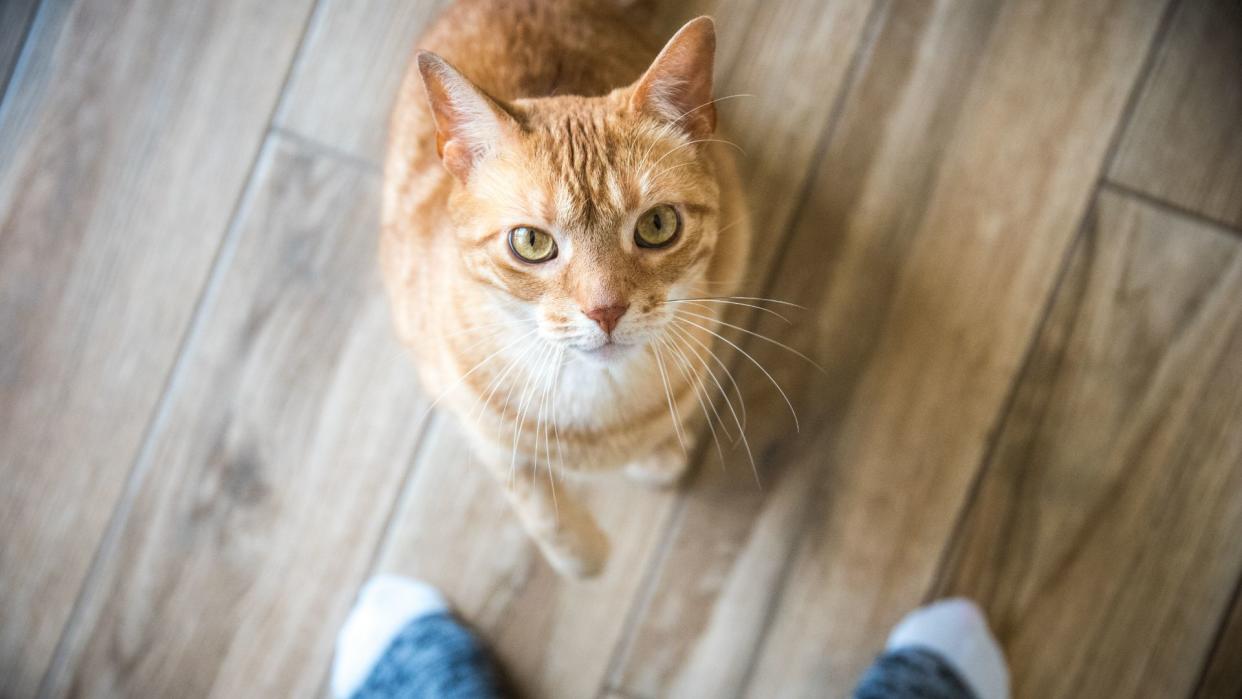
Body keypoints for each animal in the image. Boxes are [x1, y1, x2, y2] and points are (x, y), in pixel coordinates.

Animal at [380, 0, 745, 581]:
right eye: (531, 242)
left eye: (658, 225)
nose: (605, 310)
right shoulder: (474, 422)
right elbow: (533, 499)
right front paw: (581, 552)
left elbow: (664, 433)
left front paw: (663, 454)